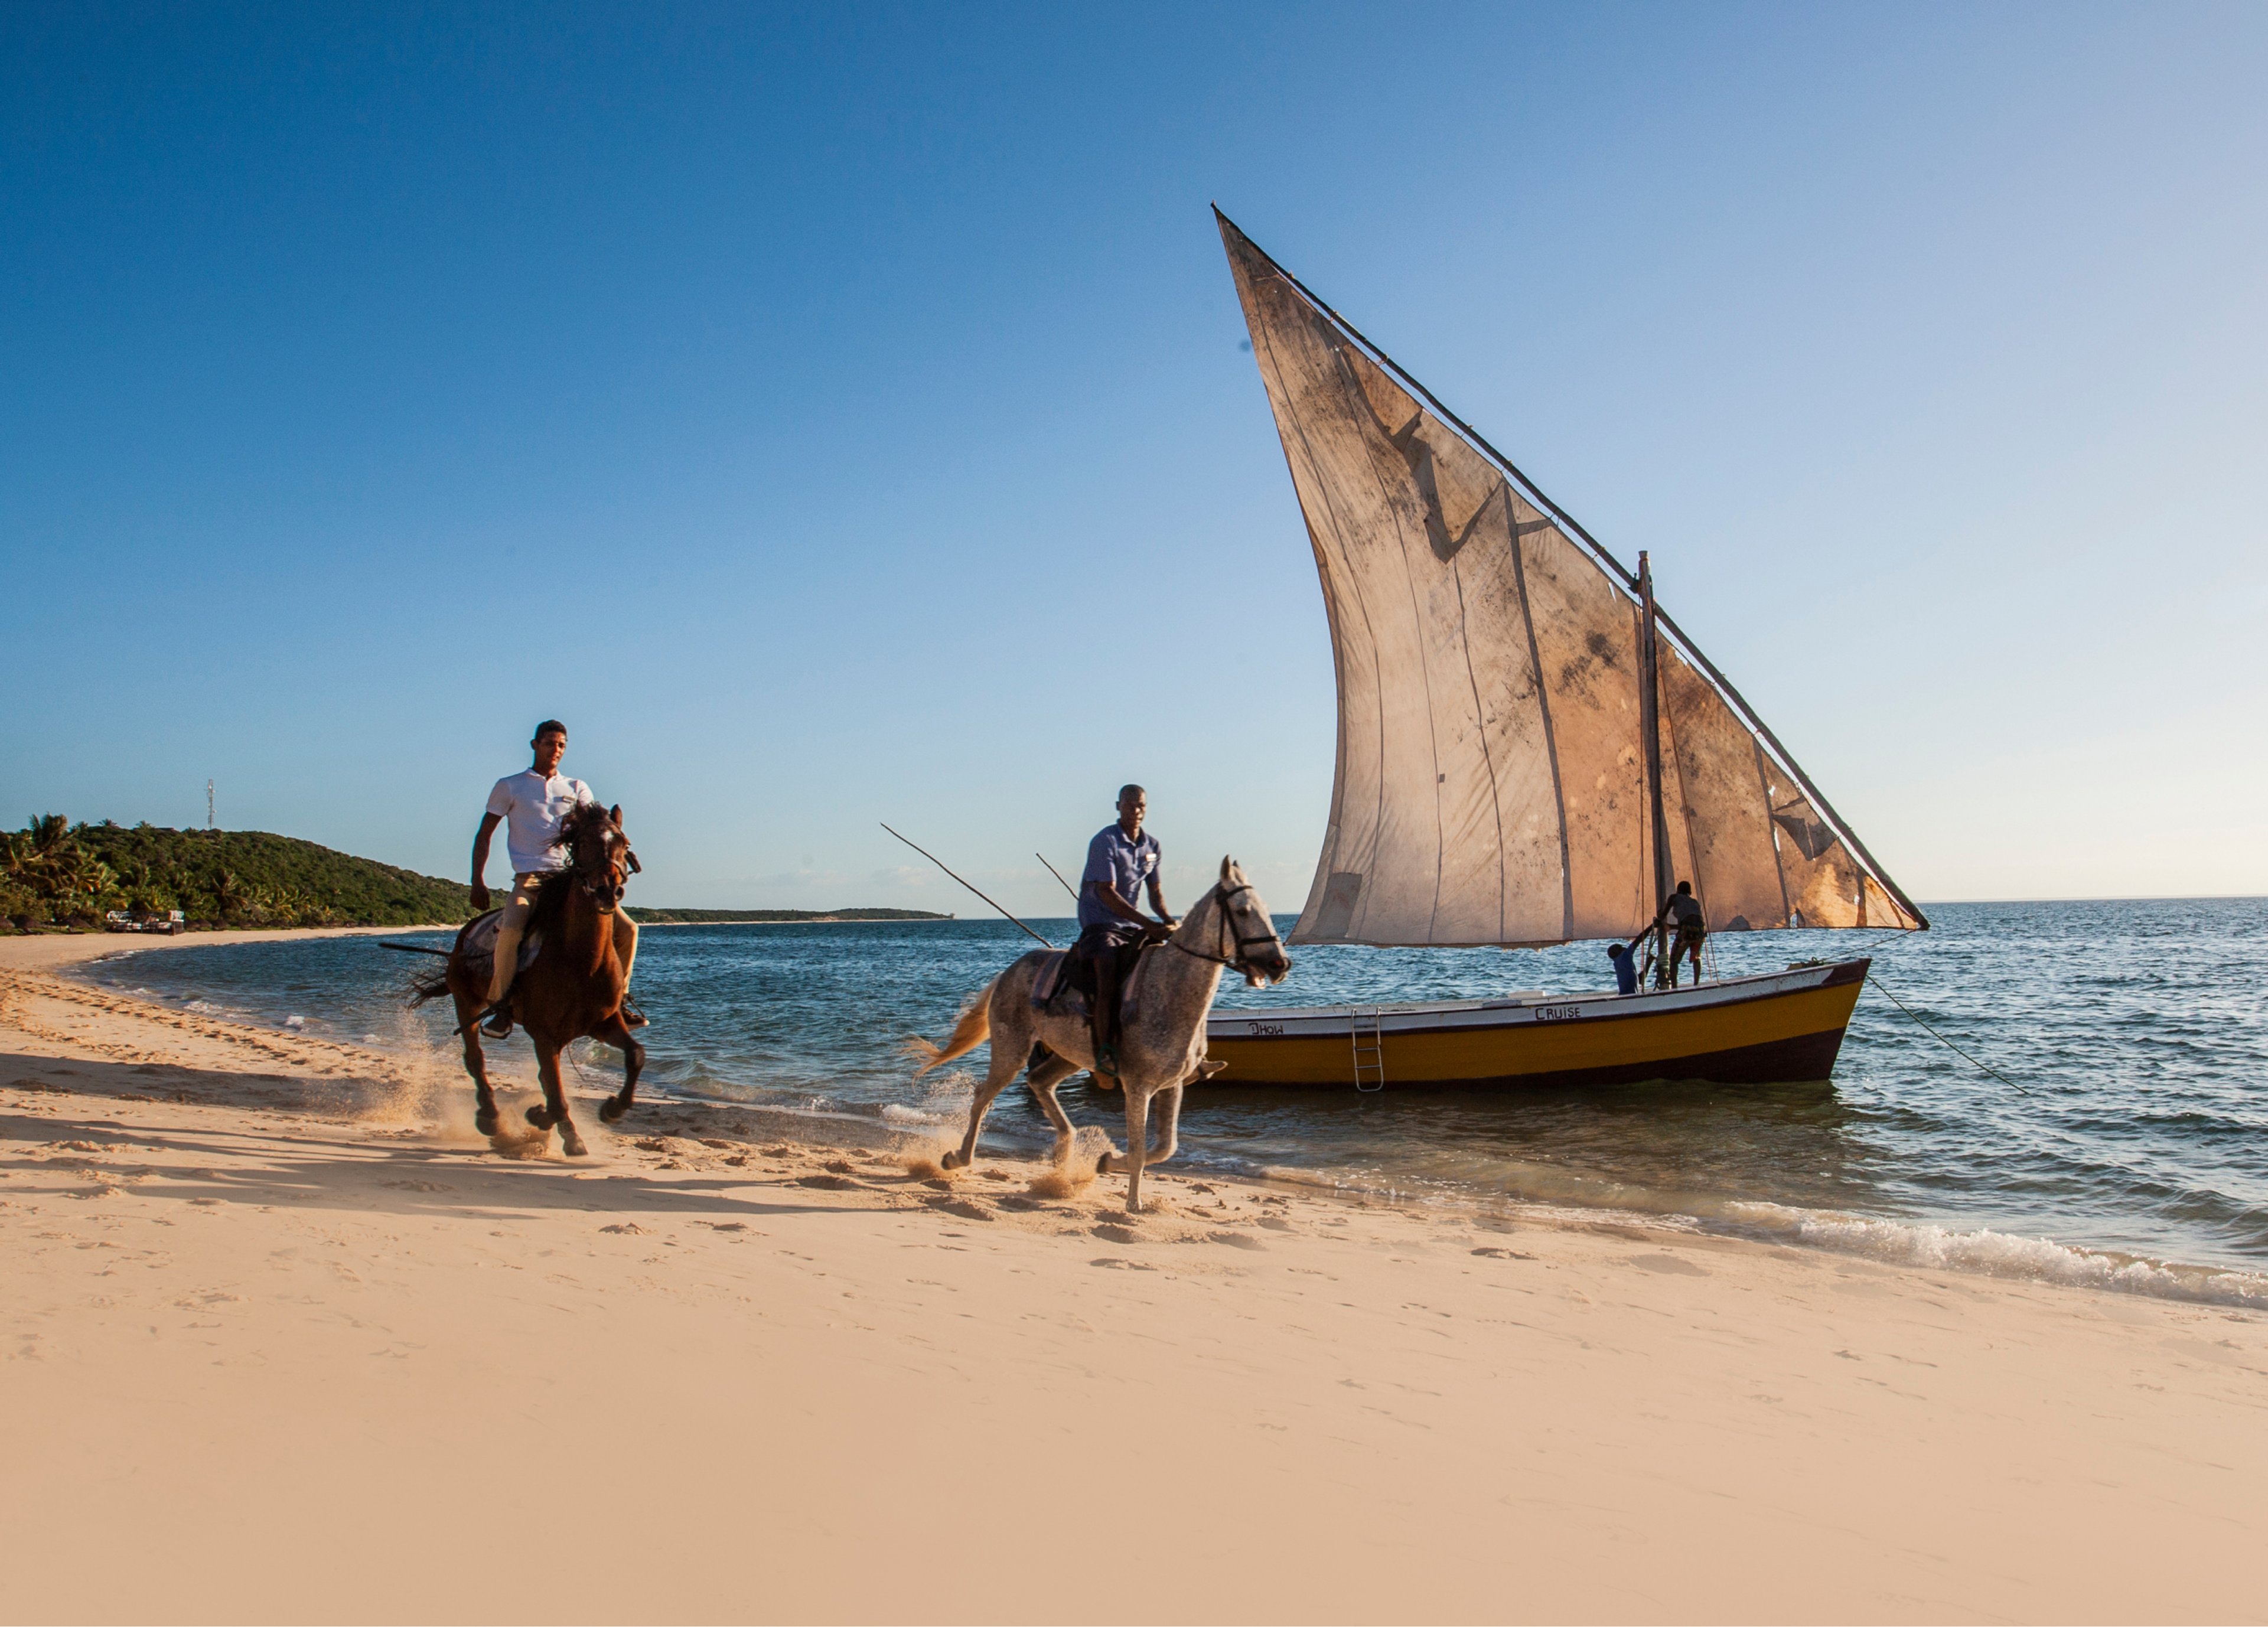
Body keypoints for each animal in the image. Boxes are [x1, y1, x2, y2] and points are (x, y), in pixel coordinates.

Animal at [415, 798, 644, 1157]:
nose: (608, 890)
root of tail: (467, 930)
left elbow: (635, 1057)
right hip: (466, 1002)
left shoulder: (603, 1023)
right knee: (475, 1059)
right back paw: (490, 1119)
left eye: (624, 843)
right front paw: (567, 1134)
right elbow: (556, 1093)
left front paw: (610, 1109)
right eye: (581, 843)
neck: (581, 960)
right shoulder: (544, 1035)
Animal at [907, 862, 1297, 1207]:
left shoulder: (1172, 1085)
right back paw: (958, 1159)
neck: (1169, 989)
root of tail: (1008, 973)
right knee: (983, 1097)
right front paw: (1134, 1203)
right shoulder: (1137, 1086)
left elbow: (1165, 1148)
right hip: (1012, 1049)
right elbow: (1140, 1149)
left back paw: (1065, 1151)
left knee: (1039, 1083)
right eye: (1243, 911)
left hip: (1068, 1056)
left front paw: (1106, 1161)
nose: (1280, 964)